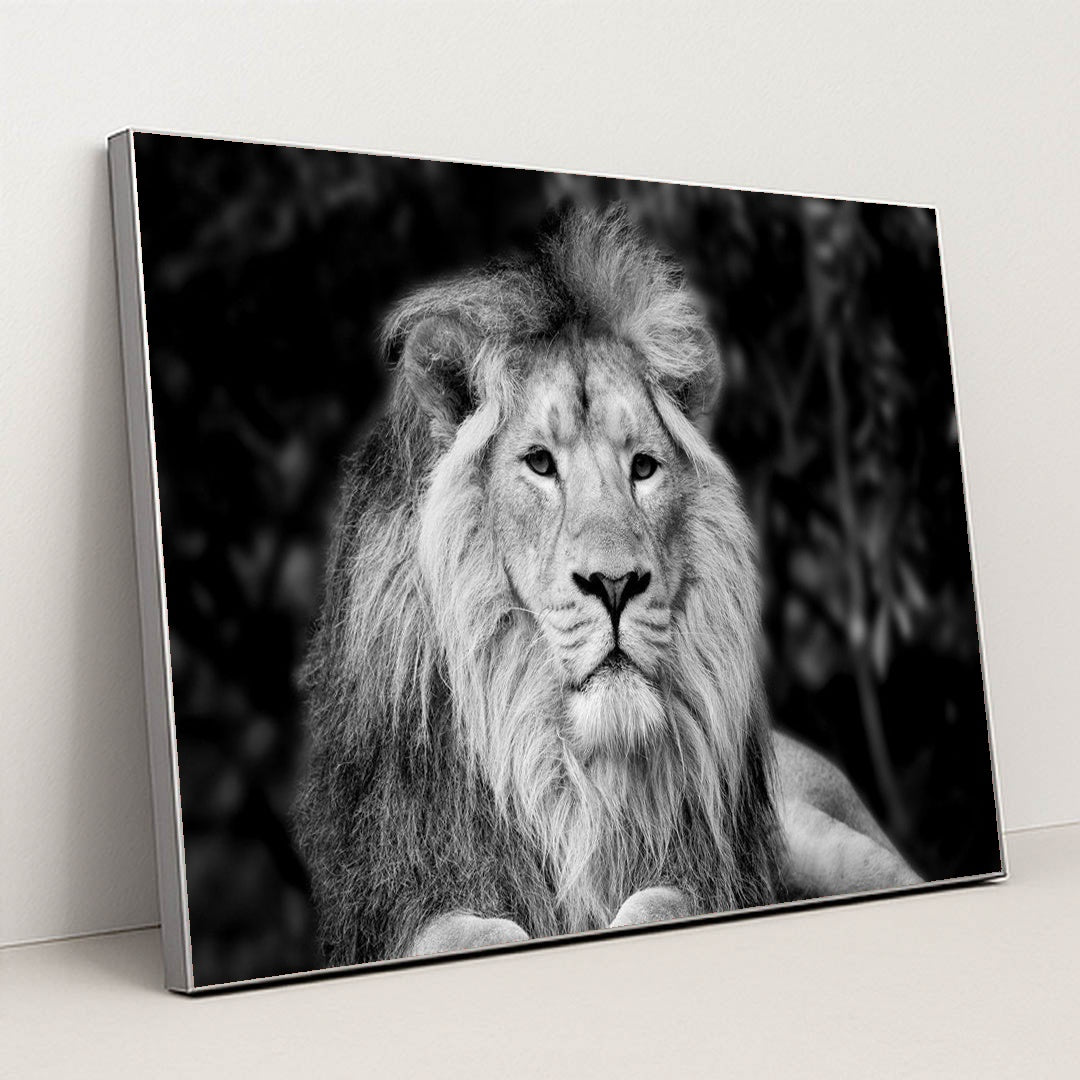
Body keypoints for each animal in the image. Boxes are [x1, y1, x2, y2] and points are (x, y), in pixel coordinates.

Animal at [294, 206, 920, 968]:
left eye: (643, 468)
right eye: (539, 463)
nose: (616, 583)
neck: (568, 773)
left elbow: (665, 899)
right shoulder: (397, 899)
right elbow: (460, 929)